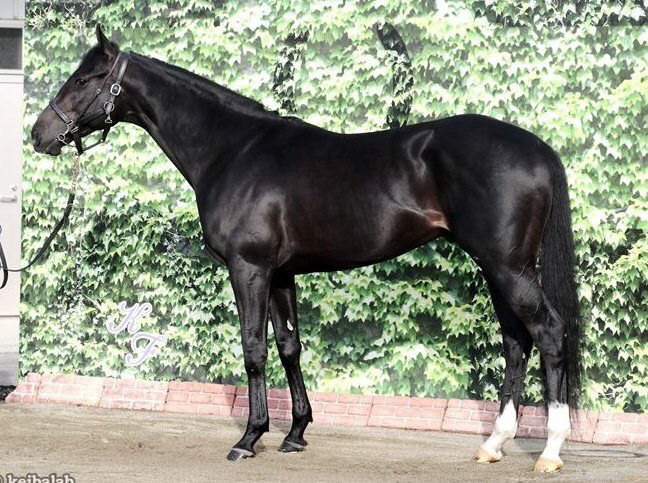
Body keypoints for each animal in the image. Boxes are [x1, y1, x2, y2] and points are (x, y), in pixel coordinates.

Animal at [31, 26, 582, 472]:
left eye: (84, 79)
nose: (41, 134)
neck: (233, 150)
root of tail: (538, 148)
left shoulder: (248, 268)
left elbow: (254, 349)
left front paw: (249, 438)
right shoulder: (280, 274)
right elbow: (289, 346)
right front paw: (295, 433)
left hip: (508, 267)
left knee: (549, 334)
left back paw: (550, 451)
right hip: (500, 268)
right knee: (516, 342)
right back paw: (493, 444)